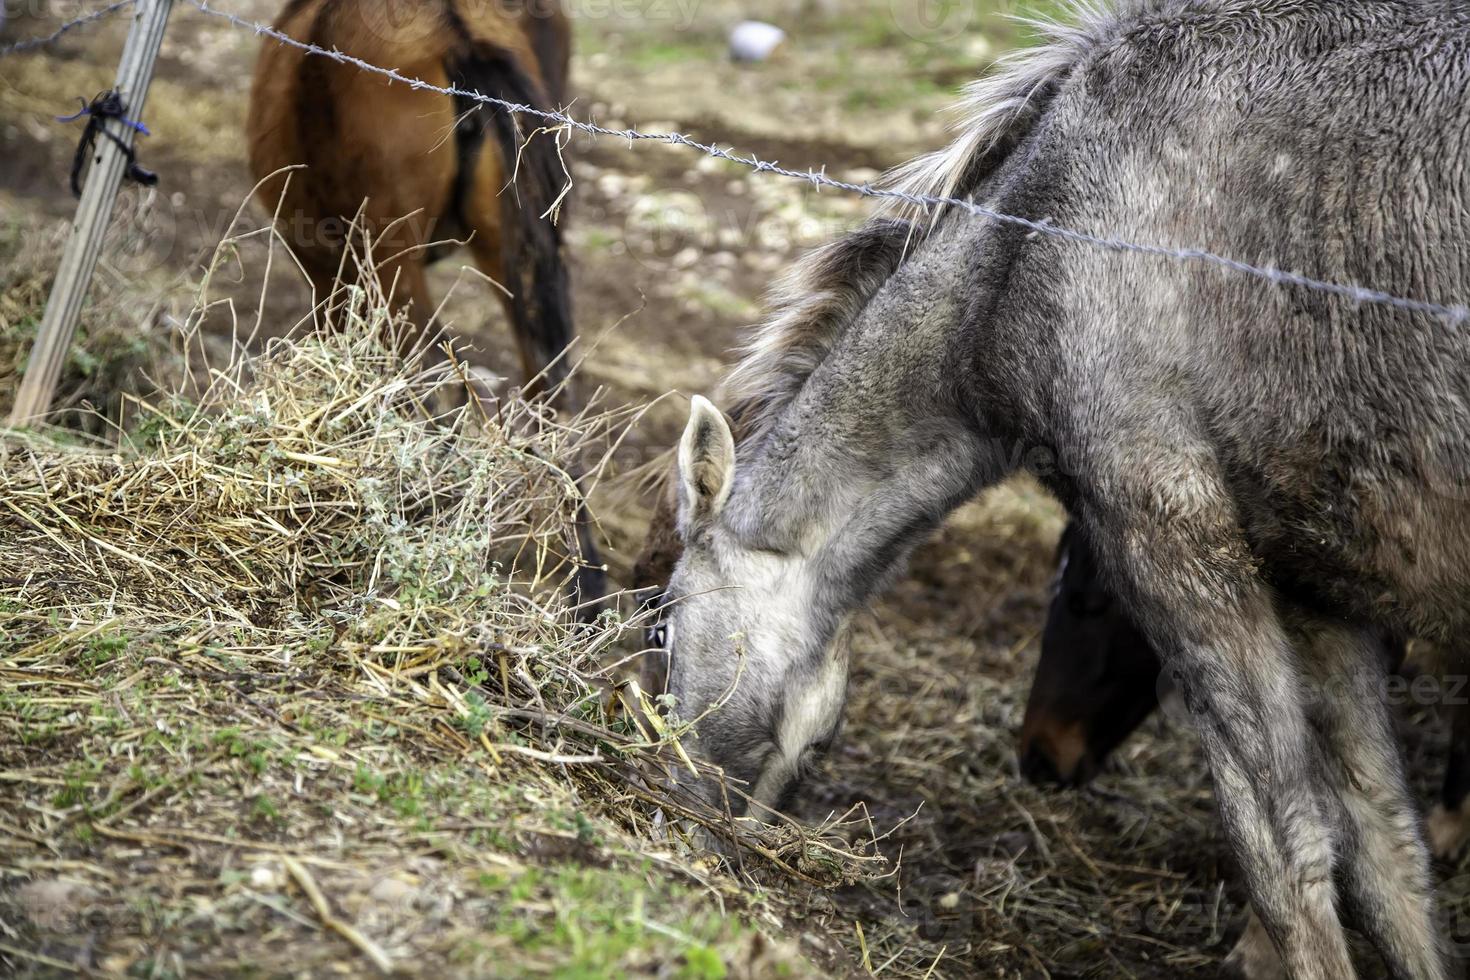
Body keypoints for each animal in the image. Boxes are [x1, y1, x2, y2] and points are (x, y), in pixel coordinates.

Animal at [658, 1, 1470, 980]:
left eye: (663, 624)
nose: (676, 807)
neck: (1036, 238)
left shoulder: (1171, 536)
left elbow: (1286, 851)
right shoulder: (1318, 593)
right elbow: (1389, 855)